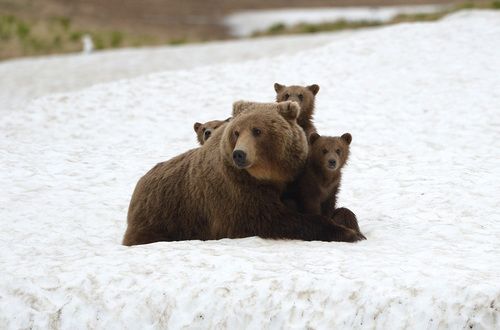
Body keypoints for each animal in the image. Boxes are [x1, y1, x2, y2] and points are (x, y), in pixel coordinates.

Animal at [121, 100, 364, 245]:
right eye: (237, 132)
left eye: (257, 131)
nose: (239, 154)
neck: (270, 176)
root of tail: (138, 184)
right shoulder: (237, 194)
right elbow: (277, 219)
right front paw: (347, 233)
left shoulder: (296, 180)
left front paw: (351, 225)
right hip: (160, 220)